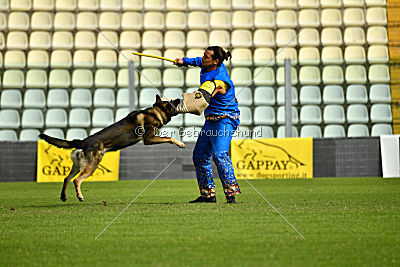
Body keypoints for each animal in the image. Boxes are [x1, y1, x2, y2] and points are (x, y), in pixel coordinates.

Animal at [39, 95, 184, 202]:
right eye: (172, 102)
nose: (179, 98)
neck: (156, 111)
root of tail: (83, 142)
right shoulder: (149, 139)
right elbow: (169, 138)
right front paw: (180, 143)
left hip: (77, 167)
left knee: (66, 179)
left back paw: (63, 197)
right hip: (91, 166)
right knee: (76, 180)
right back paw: (80, 196)